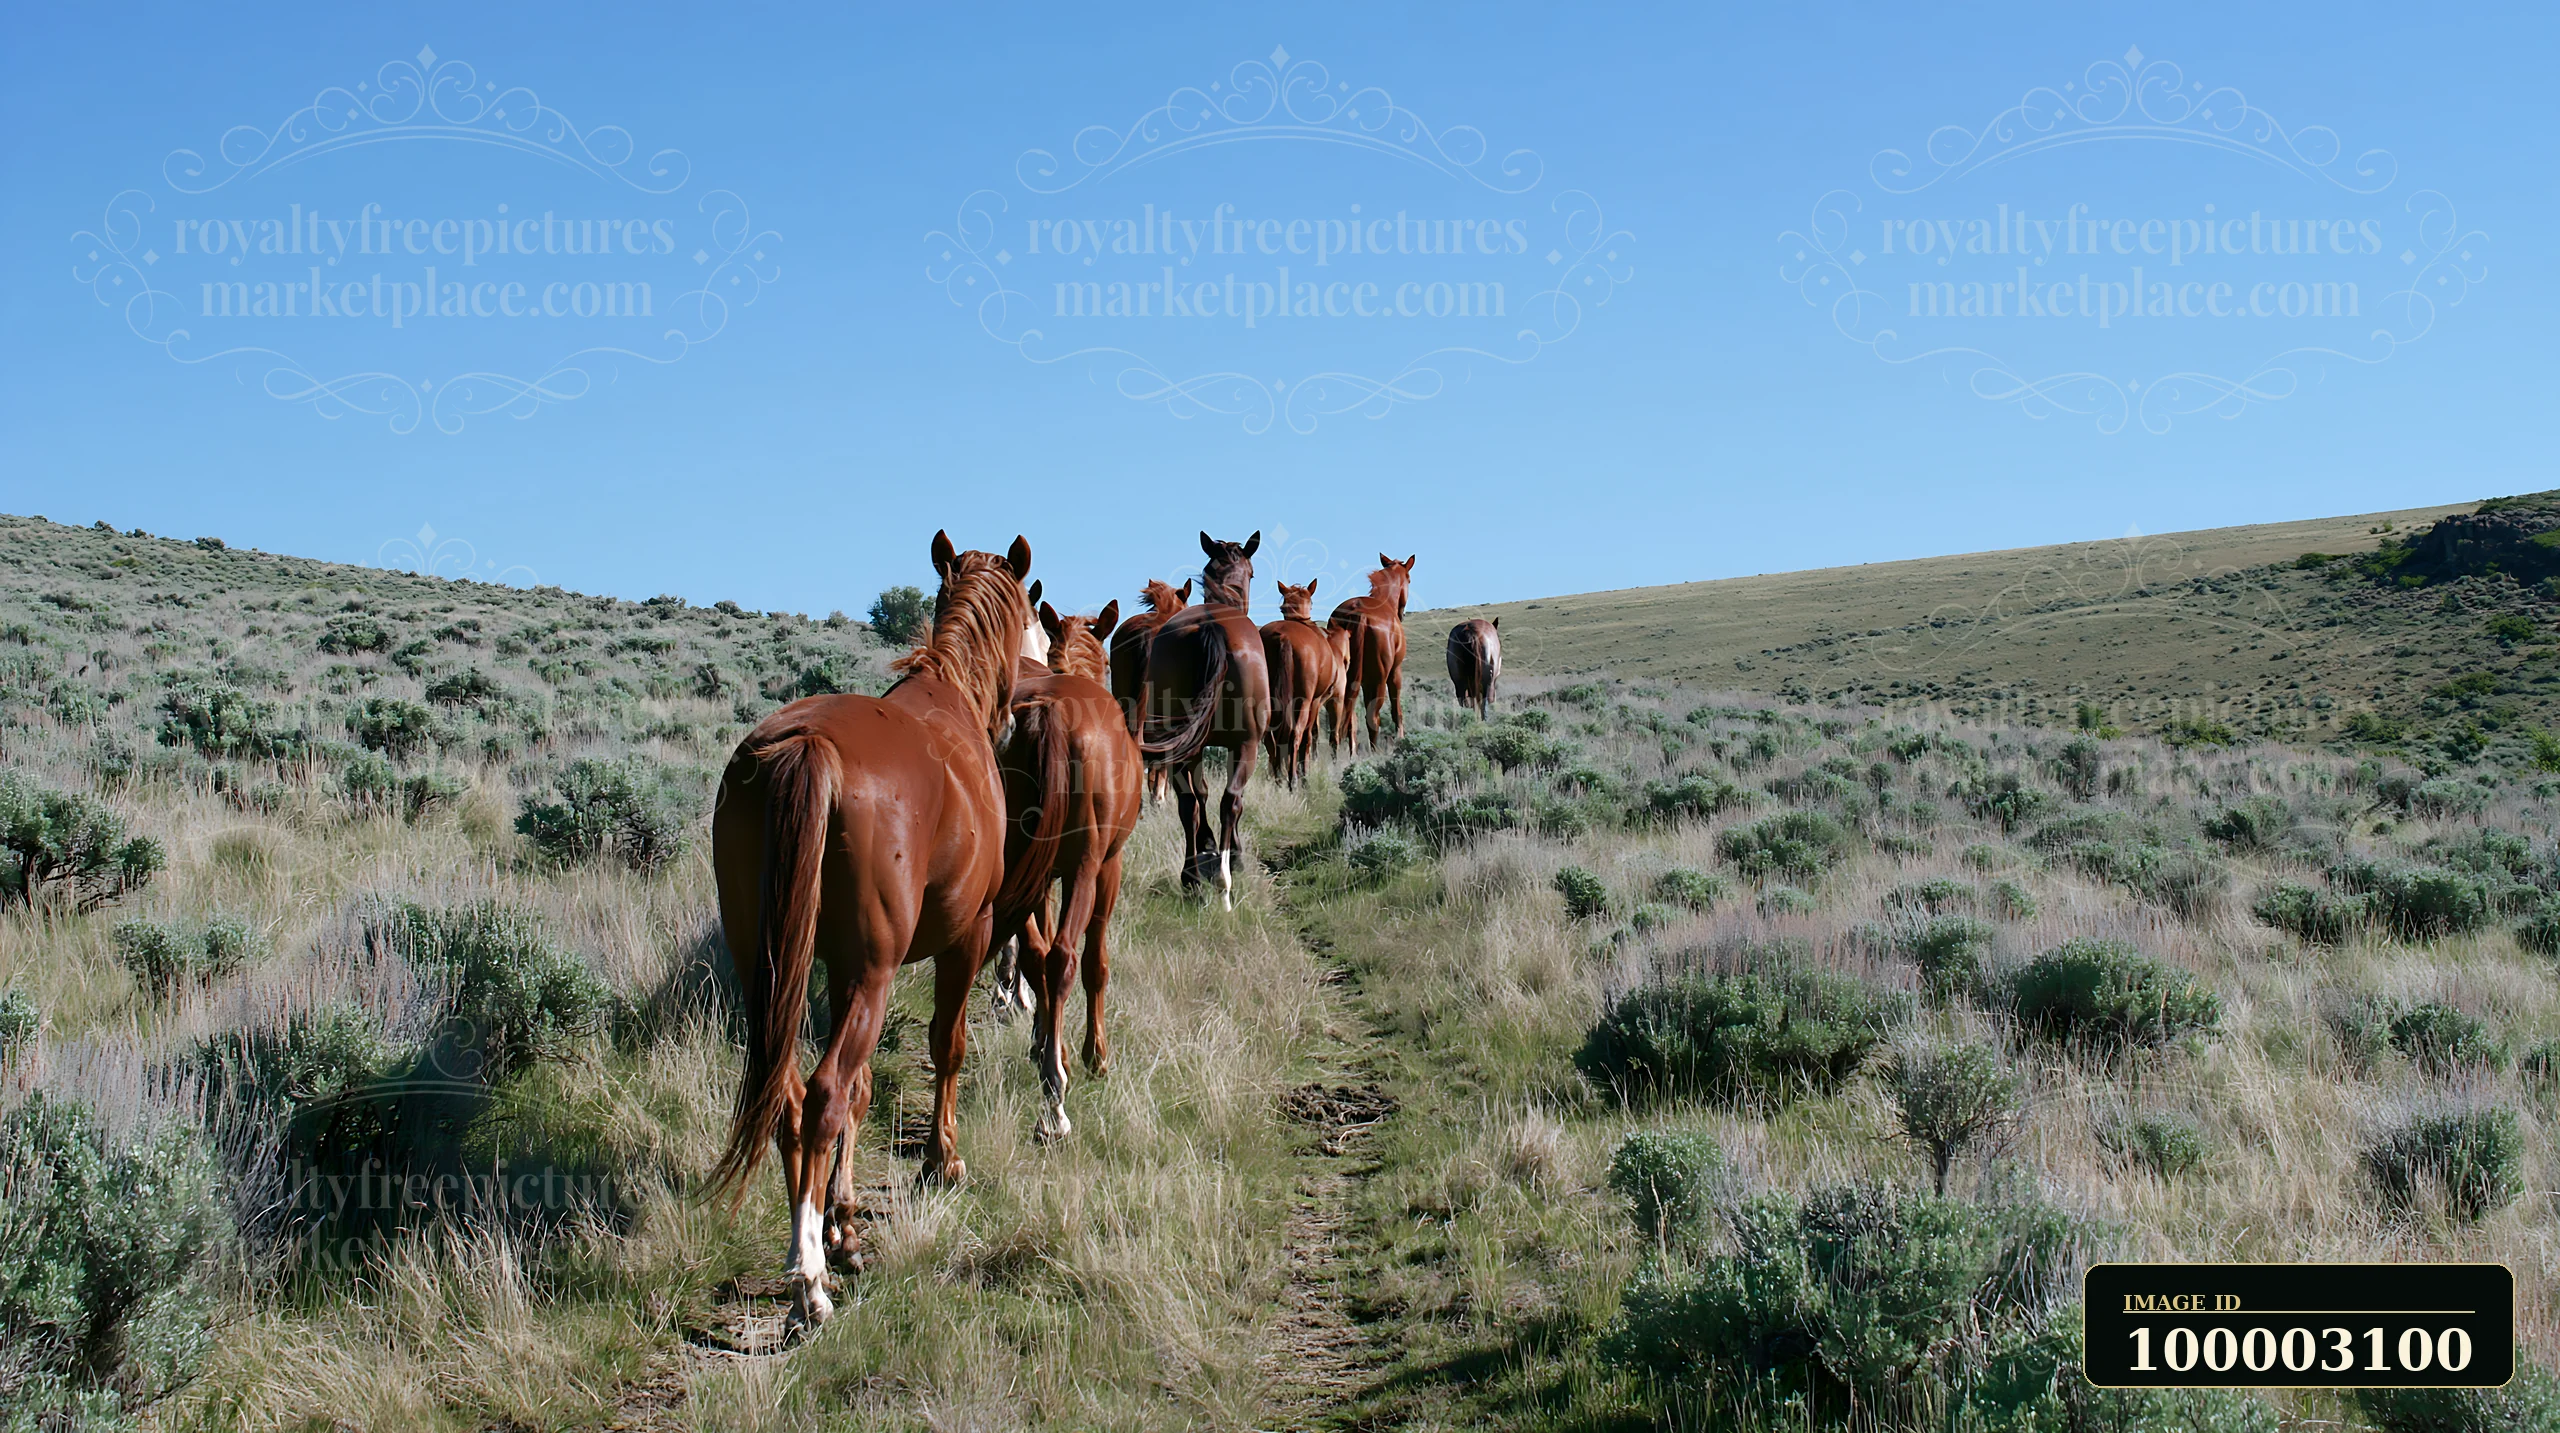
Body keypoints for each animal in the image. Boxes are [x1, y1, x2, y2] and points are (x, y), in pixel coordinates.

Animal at [707, 531, 1037, 1328]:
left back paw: (816, 1251)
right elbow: (945, 1046)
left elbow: (861, 1093)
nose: (1017, 715)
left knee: (792, 1096)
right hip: (876, 971)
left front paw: (844, 1219)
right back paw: (808, 1284)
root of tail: (806, 746)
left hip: (772, 965)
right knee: (823, 1094)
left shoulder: (830, 965)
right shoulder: (966, 937)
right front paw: (943, 1159)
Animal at [995, 599, 1141, 1140]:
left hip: (1020, 866)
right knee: (1061, 959)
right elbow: (1096, 963)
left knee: (1038, 955)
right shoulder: (1106, 869)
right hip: (1084, 868)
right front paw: (1096, 1055)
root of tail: (1051, 715)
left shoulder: (1040, 879)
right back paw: (1056, 1098)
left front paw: (1043, 1039)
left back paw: (1047, 1059)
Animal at [1139, 532, 1270, 909]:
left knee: (1189, 804)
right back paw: (1224, 883)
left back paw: (1191, 877)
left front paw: (1207, 846)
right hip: (1247, 745)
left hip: (1181, 744)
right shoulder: (1239, 745)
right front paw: (1231, 853)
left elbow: (1200, 794)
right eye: (1253, 573)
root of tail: (1212, 624)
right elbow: (1227, 798)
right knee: (1231, 801)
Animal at [1259, 578, 1338, 789]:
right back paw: (1293, 781)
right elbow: (1308, 738)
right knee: (1296, 735)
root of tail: (1283, 637)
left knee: (1270, 738)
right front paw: (1304, 775)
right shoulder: (1315, 701)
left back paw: (1278, 777)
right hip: (1304, 701)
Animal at [1326, 554, 1416, 751]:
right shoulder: (1395, 673)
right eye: (1409, 579)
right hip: (1377, 681)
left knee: (1344, 720)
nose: (1403, 614)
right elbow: (1397, 711)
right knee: (1372, 718)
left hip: (1345, 682)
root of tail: (1359, 612)